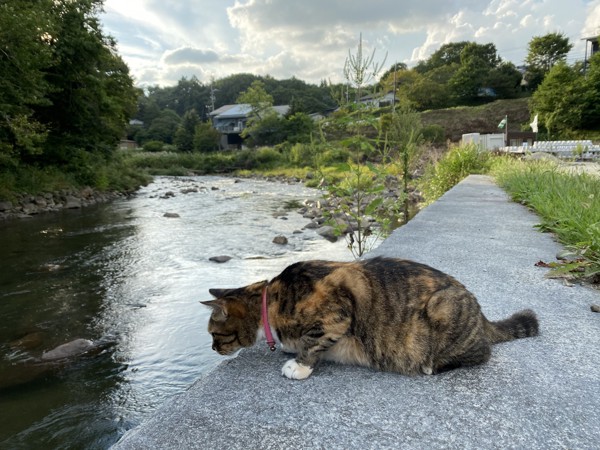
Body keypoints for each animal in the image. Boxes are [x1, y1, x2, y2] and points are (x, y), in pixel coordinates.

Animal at [202, 256, 540, 380]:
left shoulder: (337, 313)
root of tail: (482, 315)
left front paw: (299, 366)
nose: (212, 350)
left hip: (443, 307)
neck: (271, 302)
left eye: (214, 335)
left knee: (482, 353)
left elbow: (313, 343)